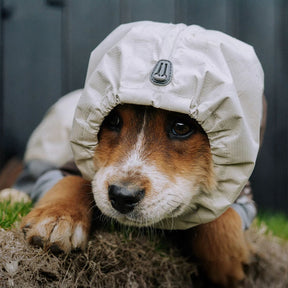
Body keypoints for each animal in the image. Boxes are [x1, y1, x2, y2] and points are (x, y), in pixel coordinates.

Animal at [21, 103, 253, 286]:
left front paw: (229, 263)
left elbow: (222, 211)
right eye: (113, 120)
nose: (122, 196)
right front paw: (57, 217)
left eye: (181, 127)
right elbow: (74, 180)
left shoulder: (242, 191)